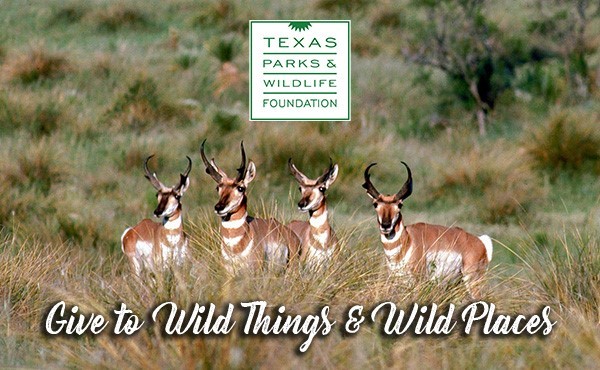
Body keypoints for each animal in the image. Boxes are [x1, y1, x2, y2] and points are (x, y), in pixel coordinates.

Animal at [360, 162, 492, 298]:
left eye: (400, 204)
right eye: (375, 204)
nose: (386, 225)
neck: (408, 240)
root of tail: (480, 241)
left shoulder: (417, 280)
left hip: (472, 281)